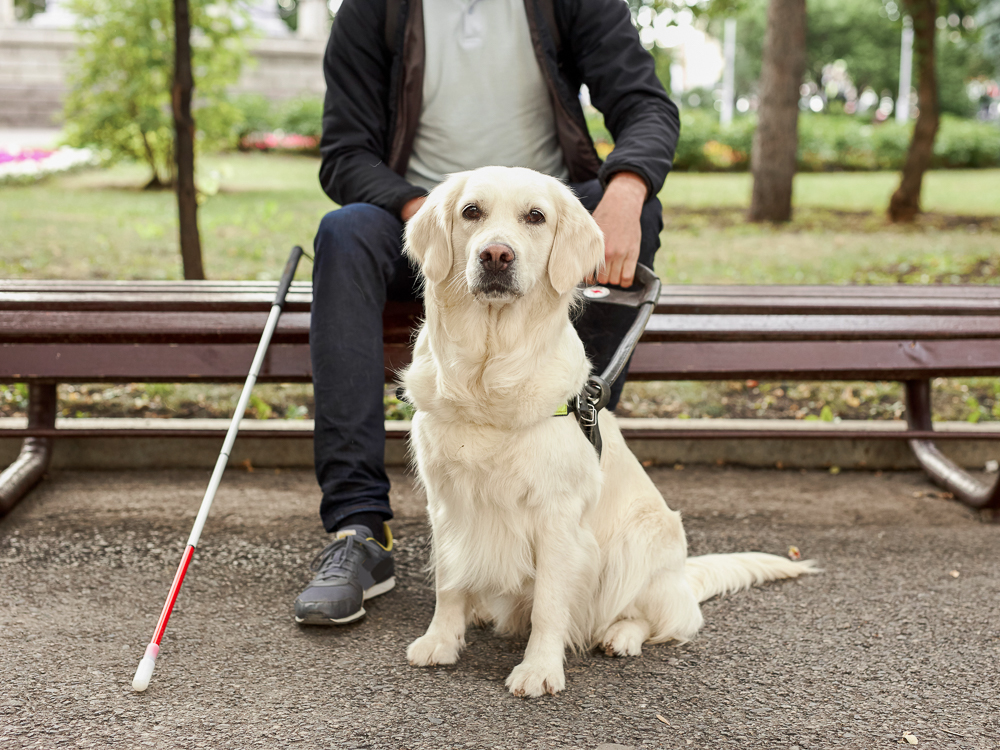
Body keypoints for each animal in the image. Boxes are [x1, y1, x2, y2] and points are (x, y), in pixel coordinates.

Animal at [396, 169, 812, 700]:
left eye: (536, 216)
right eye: (471, 212)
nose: (496, 255)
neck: (488, 375)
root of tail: (682, 576)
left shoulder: (557, 516)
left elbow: (550, 604)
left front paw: (539, 669)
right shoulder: (447, 502)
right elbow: (449, 581)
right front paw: (441, 641)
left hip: (642, 541)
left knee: (662, 618)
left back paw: (621, 636)